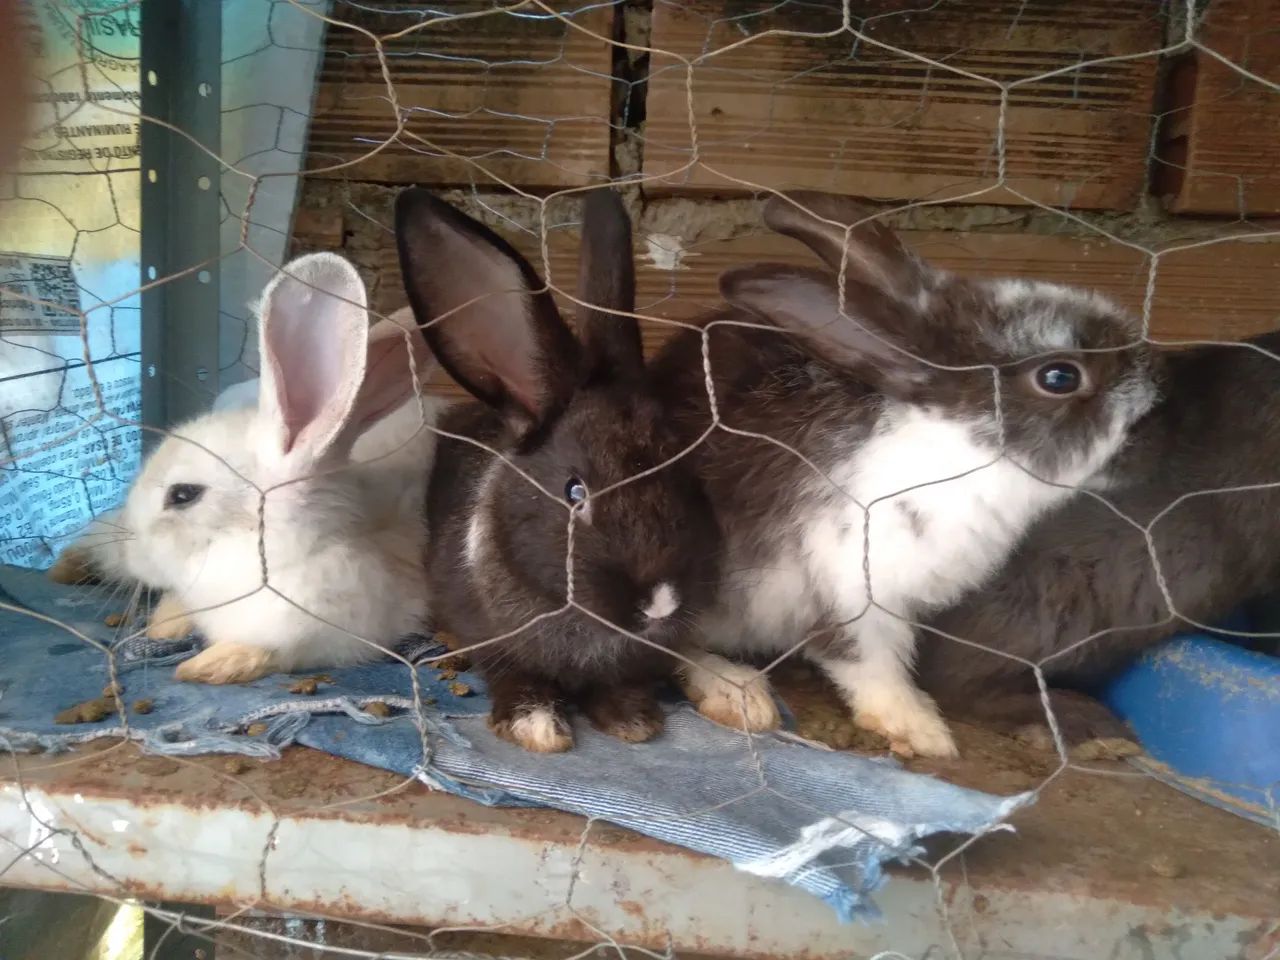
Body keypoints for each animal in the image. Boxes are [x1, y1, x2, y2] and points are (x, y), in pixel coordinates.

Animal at [50, 252, 442, 684]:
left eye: (183, 495)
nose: (130, 547)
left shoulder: (330, 634)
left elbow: (270, 652)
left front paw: (206, 666)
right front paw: (165, 627)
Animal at [394, 187, 720, 753]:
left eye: (686, 470)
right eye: (574, 492)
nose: (660, 603)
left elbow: (618, 682)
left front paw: (633, 719)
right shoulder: (495, 643)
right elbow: (515, 675)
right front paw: (537, 726)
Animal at [648, 190, 1159, 758]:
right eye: (1060, 377)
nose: (1152, 387)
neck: (953, 447)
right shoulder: (852, 591)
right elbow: (869, 666)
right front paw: (921, 729)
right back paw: (738, 691)